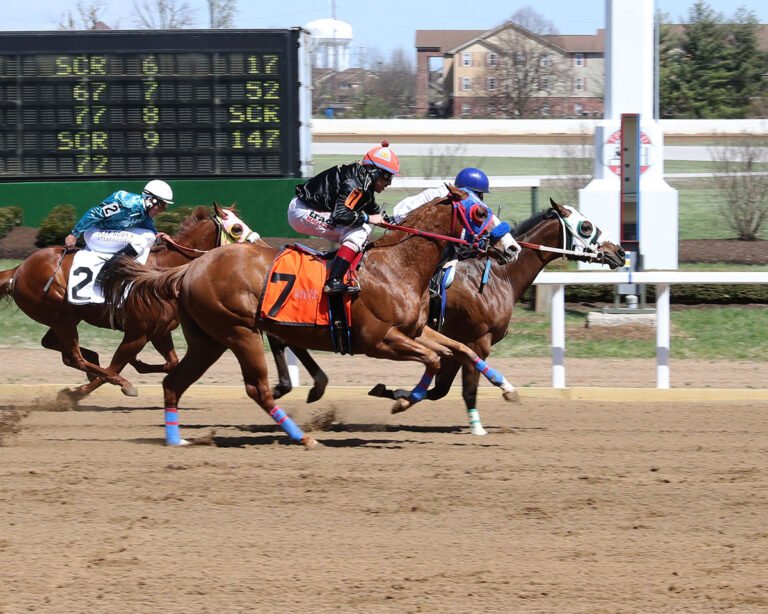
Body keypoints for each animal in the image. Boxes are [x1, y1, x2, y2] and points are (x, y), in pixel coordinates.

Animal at [0, 205, 258, 402]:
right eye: (237, 228)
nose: (257, 245)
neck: (164, 272)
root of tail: (18, 269)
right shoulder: (137, 333)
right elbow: (116, 366)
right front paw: (83, 392)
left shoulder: (159, 331)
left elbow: (170, 362)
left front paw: (137, 365)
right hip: (60, 316)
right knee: (73, 357)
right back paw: (109, 376)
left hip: (65, 317)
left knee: (56, 346)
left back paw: (93, 359)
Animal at [102, 185, 520, 450]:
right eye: (480, 211)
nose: (512, 247)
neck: (398, 265)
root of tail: (189, 268)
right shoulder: (379, 340)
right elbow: (434, 359)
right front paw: (402, 400)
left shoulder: (415, 330)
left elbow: (461, 351)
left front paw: (506, 388)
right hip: (239, 332)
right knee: (257, 389)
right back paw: (302, 436)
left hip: (209, 340)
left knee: (173, 383)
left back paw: (176, 439)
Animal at [268, 200, 628, 436]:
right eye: (585, 226)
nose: (620, 252)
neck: (498, 275)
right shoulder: (478, 340)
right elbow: (464, 388)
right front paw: (477, 424)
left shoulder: (456, 342)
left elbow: (440, 387)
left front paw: (393, 393)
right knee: (279, 337)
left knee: (284, 338)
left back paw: (302, 385)